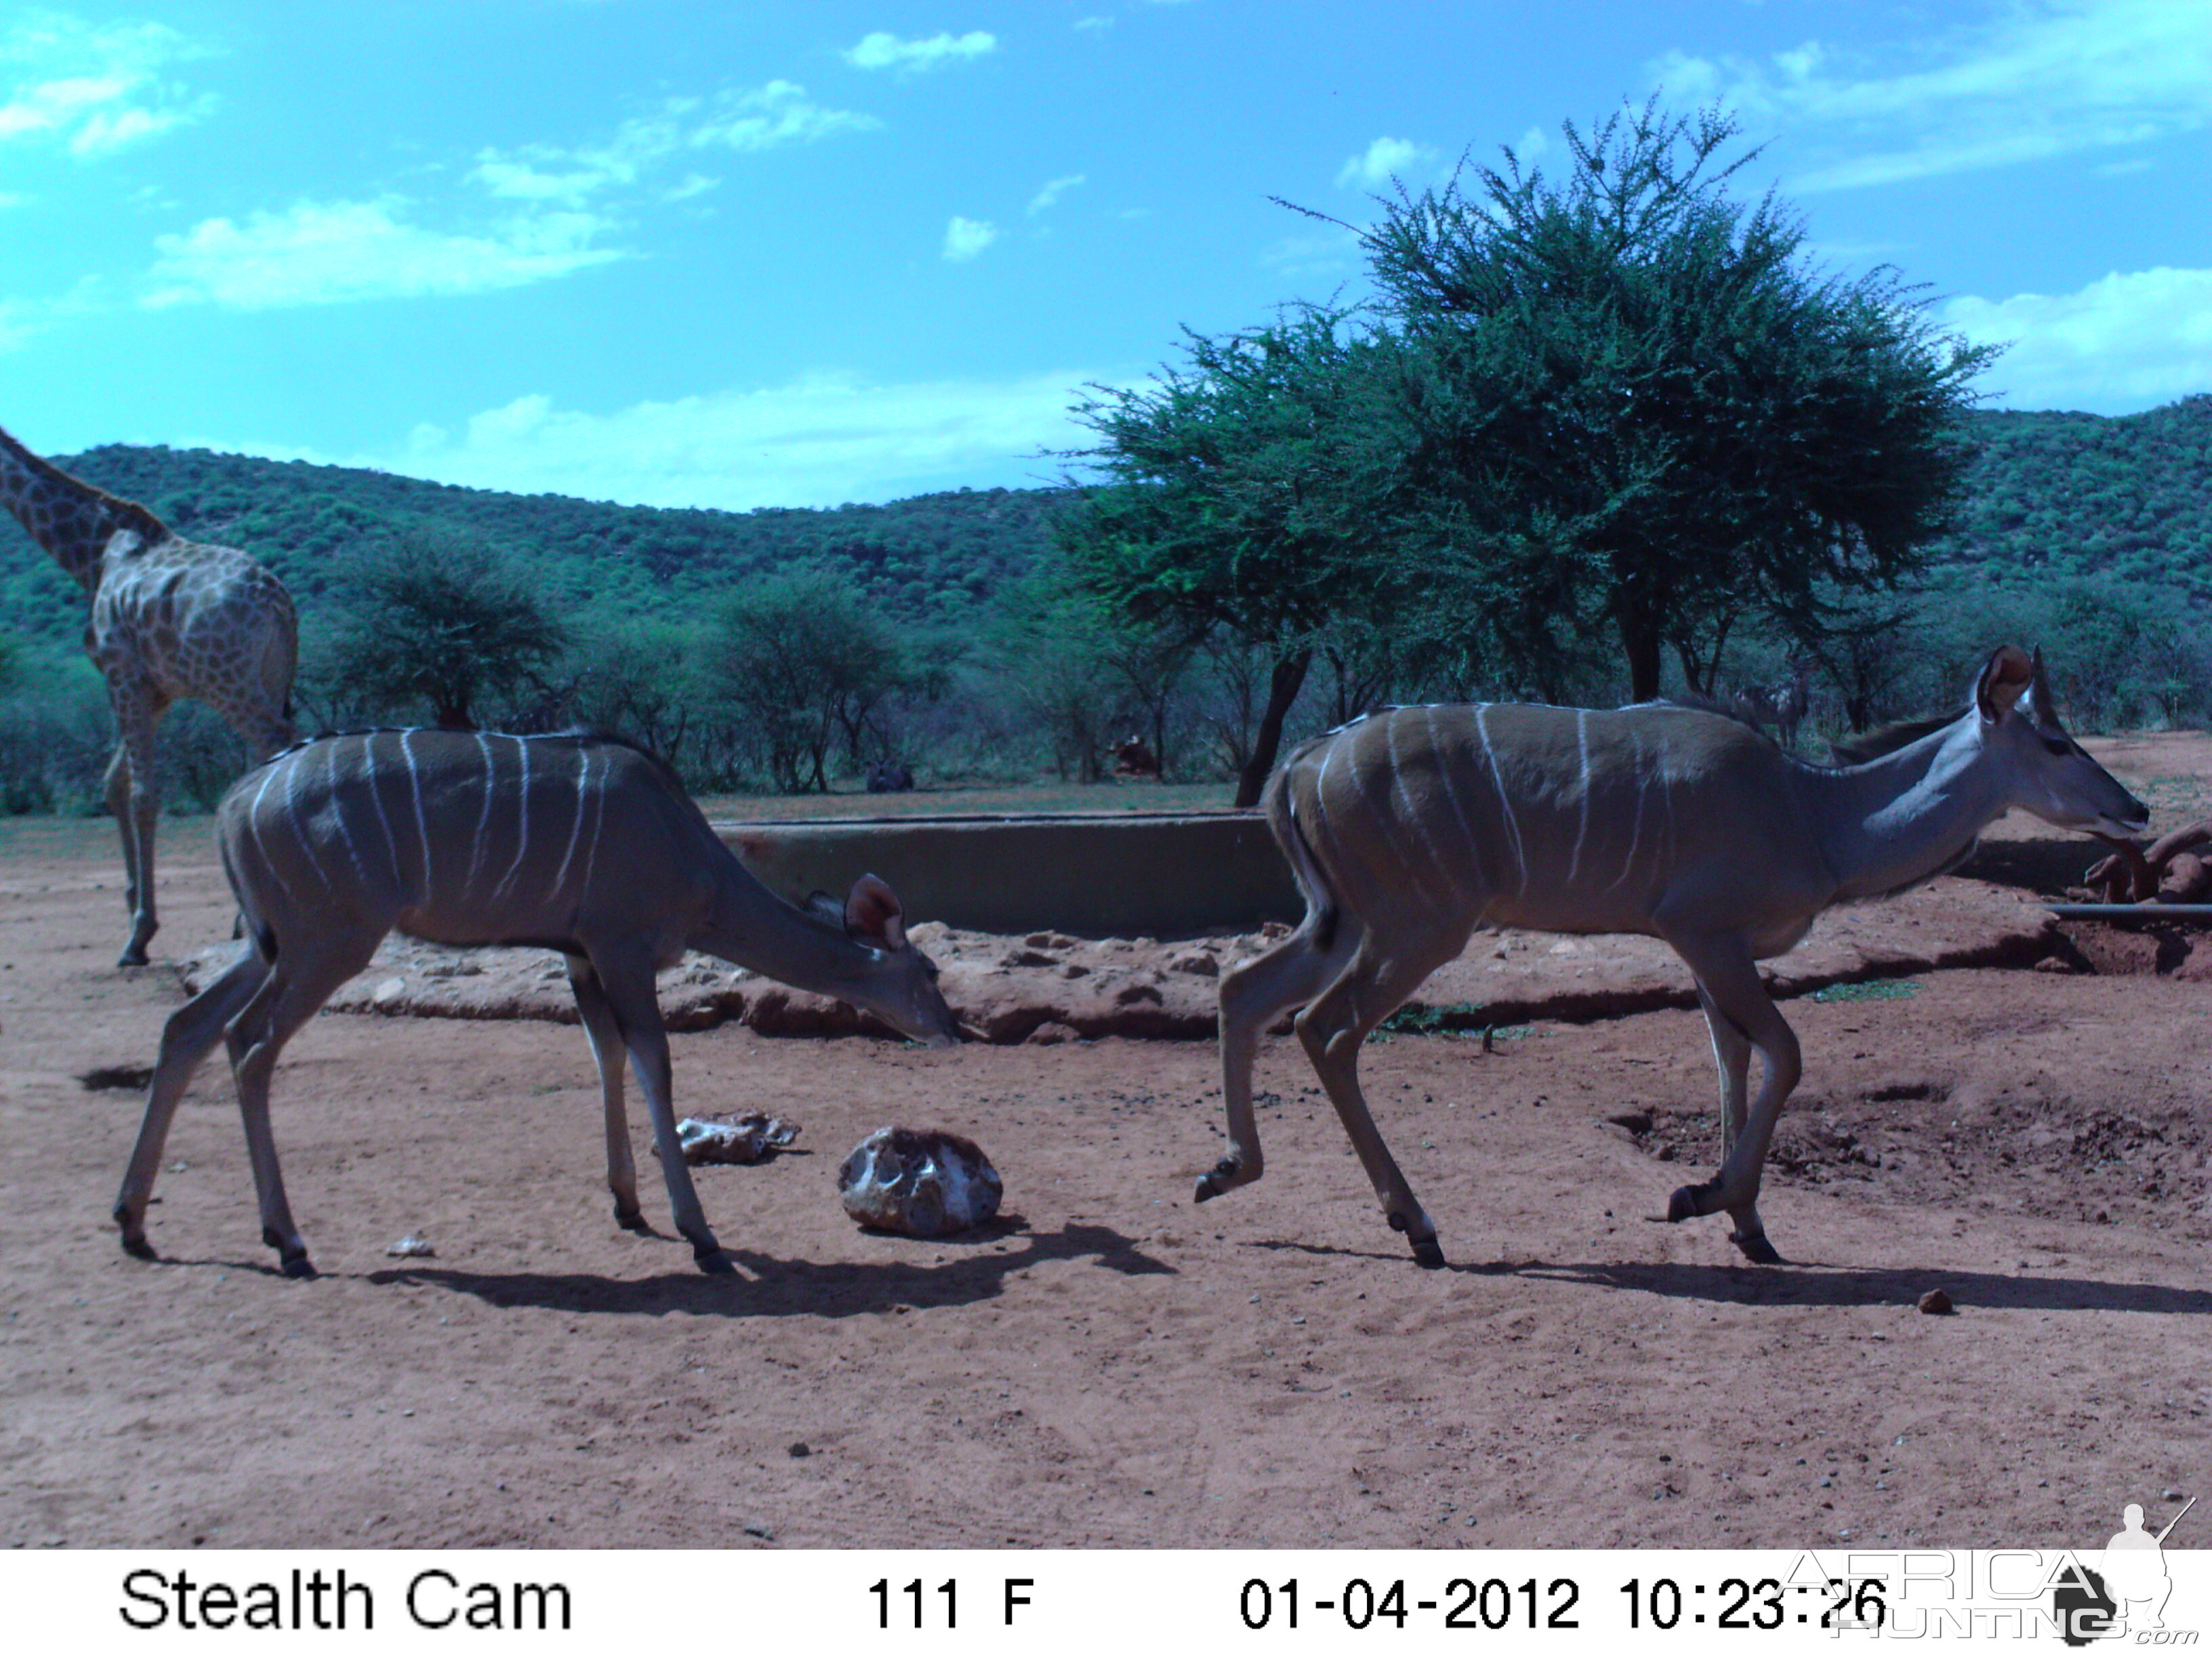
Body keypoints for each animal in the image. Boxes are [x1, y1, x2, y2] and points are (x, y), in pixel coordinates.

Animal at [1, 429, 298, 968]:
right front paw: (130, 905)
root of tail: (280, 605)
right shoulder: (153, 689)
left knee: (280, 746)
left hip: (231, 686)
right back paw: (252, 915)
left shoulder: (123, 675)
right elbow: (113, 783)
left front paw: (139, 935)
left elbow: (142, 794)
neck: (91, 552)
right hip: (268, 681)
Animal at [112, 721, 960, 1283]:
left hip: (271, 944)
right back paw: (287, 1241)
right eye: (929, 972)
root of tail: (235, 802)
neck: (693, 857)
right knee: (251, 1047)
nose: (953, 1031)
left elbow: (606, 1054)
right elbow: (654, 1064)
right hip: (329, 944)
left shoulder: (579, 954)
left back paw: (134, 1224)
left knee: (189, 1027)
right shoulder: (620, 949)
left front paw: (628, 1205)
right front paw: (702, 1235)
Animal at [1203, 641, 2150, 1265]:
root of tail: (1303, 763)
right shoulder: (1705, 933)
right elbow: (1785, 1052)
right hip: (1417, 929)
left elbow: (1730, 1053)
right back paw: (1418, 1225)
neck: (1814, 813)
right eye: (2056, 742)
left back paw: (1230, 1171)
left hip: (1344, 923)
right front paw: (1707, 1196)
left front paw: (1748, 1224)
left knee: (1248, 993)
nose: (2136, 808)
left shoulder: (1704, 949)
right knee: (1329, 1030)